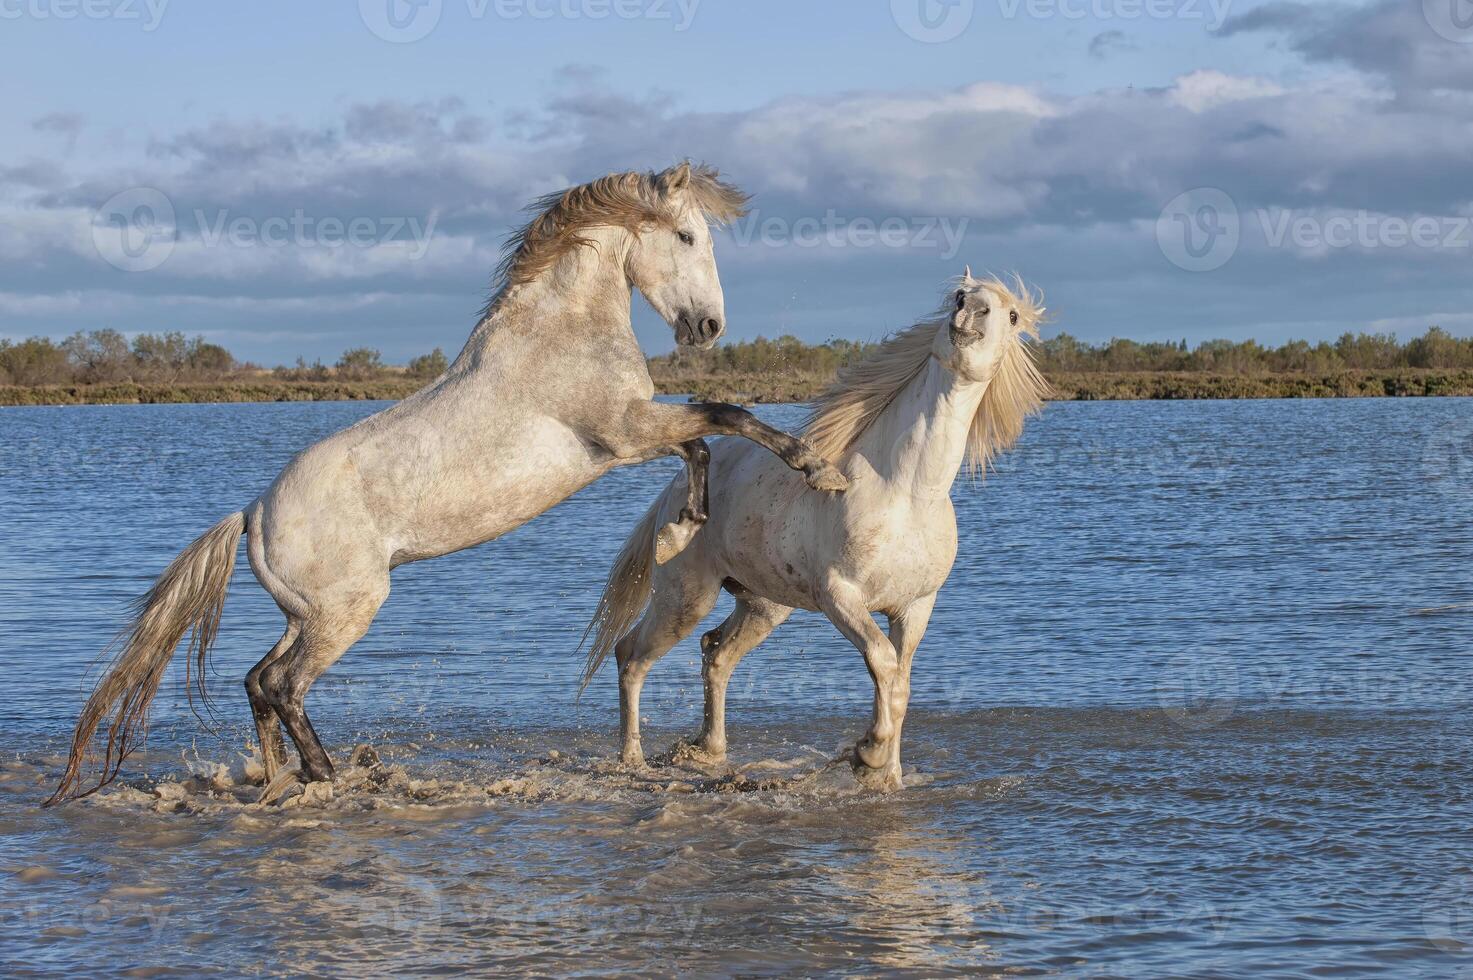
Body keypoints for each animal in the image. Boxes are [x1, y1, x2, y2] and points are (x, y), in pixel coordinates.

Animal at [48, 160, 854, 801]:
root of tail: (253, 511)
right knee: (282, 685)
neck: (557, 332)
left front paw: (686, 523)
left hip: (306, 614)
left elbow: (700, 445)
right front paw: (817, 471)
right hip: (347, 613)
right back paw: (328, 775)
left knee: (256, 682)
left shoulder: (625, 441)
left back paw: (281, 777)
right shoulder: (622, 430)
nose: (708, 328)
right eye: (687, 238)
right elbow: (726, 416)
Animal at [577, 269, 1048, 789]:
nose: (969, 315)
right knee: (631, 655)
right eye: (960, 297)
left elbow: (900, 685)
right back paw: (632, 759)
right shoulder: (840, 596)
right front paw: (867, 755)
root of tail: (674, 491)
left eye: (1011, 315)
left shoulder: (916, 608)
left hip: (764, 607)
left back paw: (709, 751)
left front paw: (886, 775)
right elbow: (882, 662)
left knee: (716, 655)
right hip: (685, 598)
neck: (905, 492)